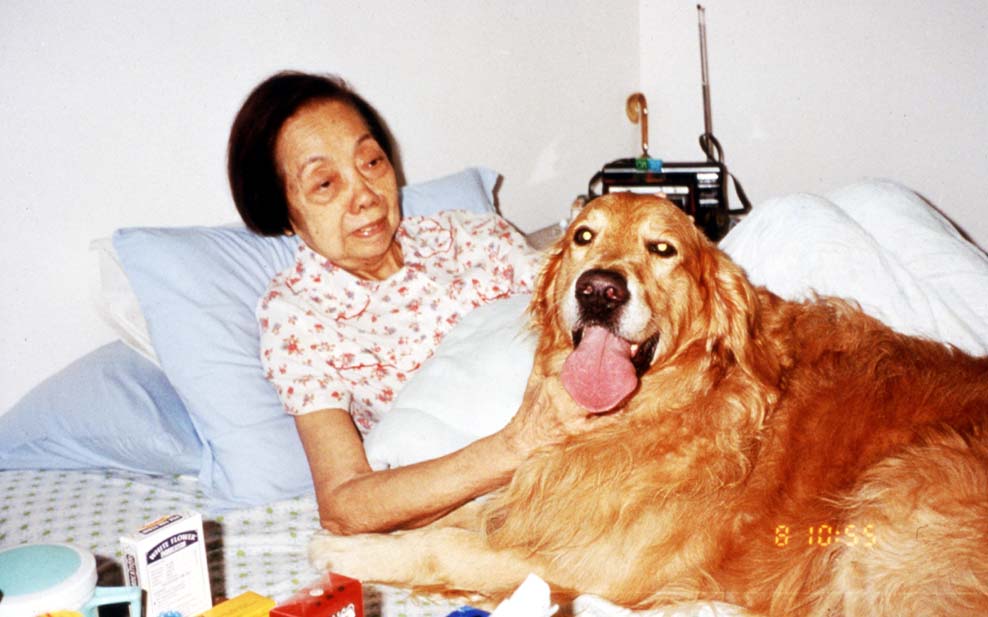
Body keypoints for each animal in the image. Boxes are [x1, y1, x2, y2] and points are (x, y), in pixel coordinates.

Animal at [310, 194, 988, 616]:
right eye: (583, 237)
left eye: (663, 249)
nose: (600, 289)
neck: (681, 401)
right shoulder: (538, 502)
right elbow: (460, 516)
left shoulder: (592, 566)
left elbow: (444, 546)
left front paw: (347, 552)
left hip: (897, 498)